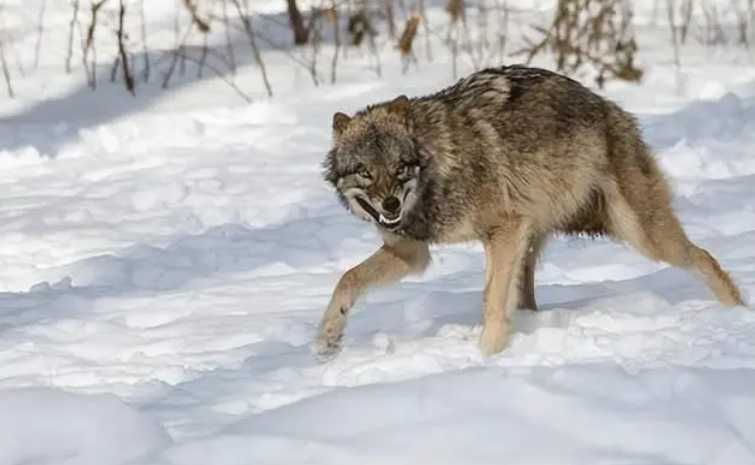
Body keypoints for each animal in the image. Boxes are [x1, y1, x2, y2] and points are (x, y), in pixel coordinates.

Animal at [312, 62, 744, 358]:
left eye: (400, 168)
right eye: (365, 172)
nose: (390, 204)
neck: (437, 167)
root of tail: (609, 106)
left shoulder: (503, 229)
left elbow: (489, 301)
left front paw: (486, 356)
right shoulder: (410, 251)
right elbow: (347, 279)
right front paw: (328, 337)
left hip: (640, 235)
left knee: (704, 257)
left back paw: (737, 315)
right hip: (539, 243)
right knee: (527, 301)